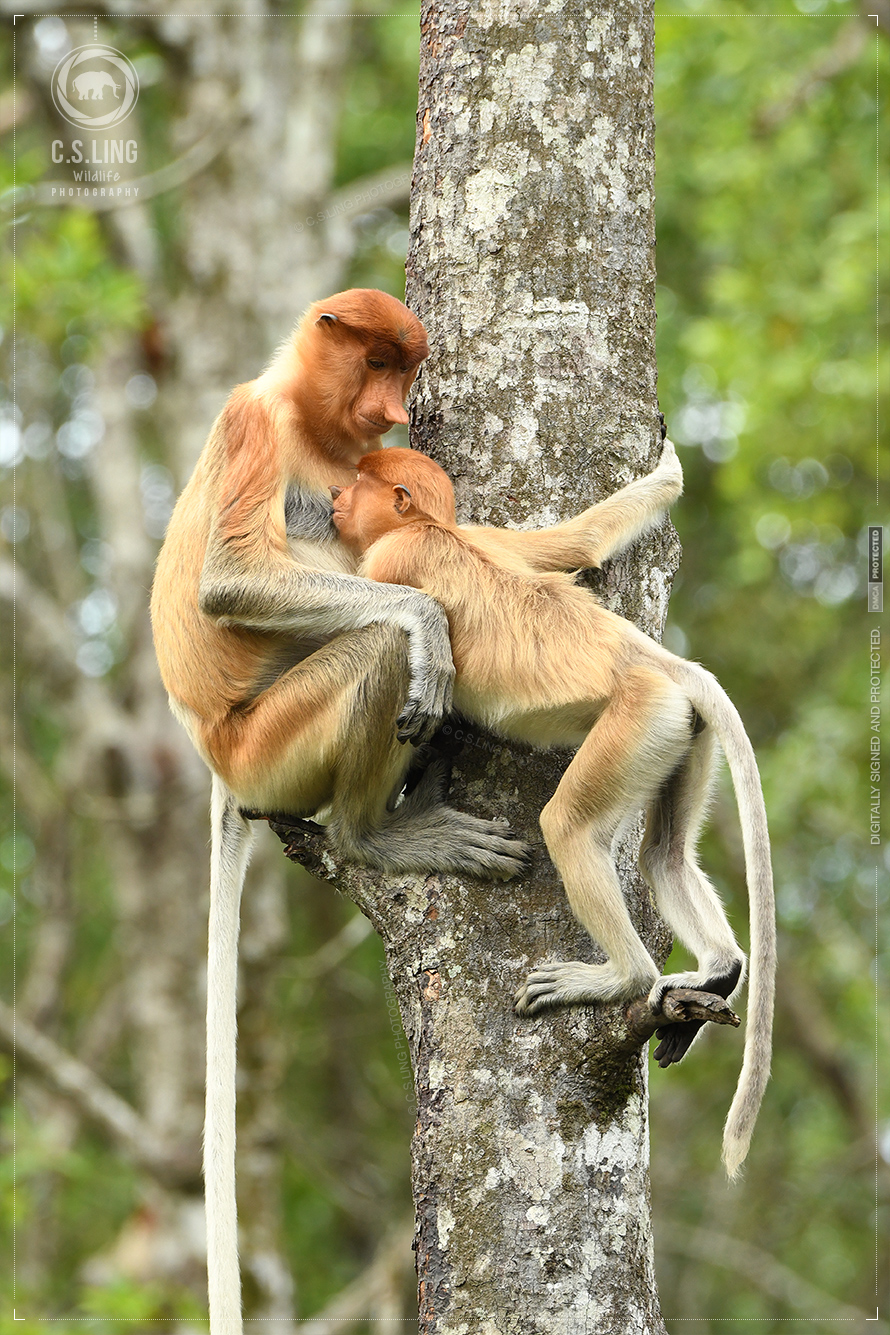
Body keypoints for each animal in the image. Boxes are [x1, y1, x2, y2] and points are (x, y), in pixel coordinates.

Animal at [328, 444, 776, 1180]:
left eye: (359, 485)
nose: (335, 500)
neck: (436, 531)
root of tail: (659, 661)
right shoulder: (488, 535)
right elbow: (575, 543)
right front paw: (669, 468)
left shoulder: (392, 557)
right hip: (682, 733)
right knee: (663, 855)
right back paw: (718, 970)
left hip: (637, 721)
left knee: (567, 827)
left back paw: (623, 978)